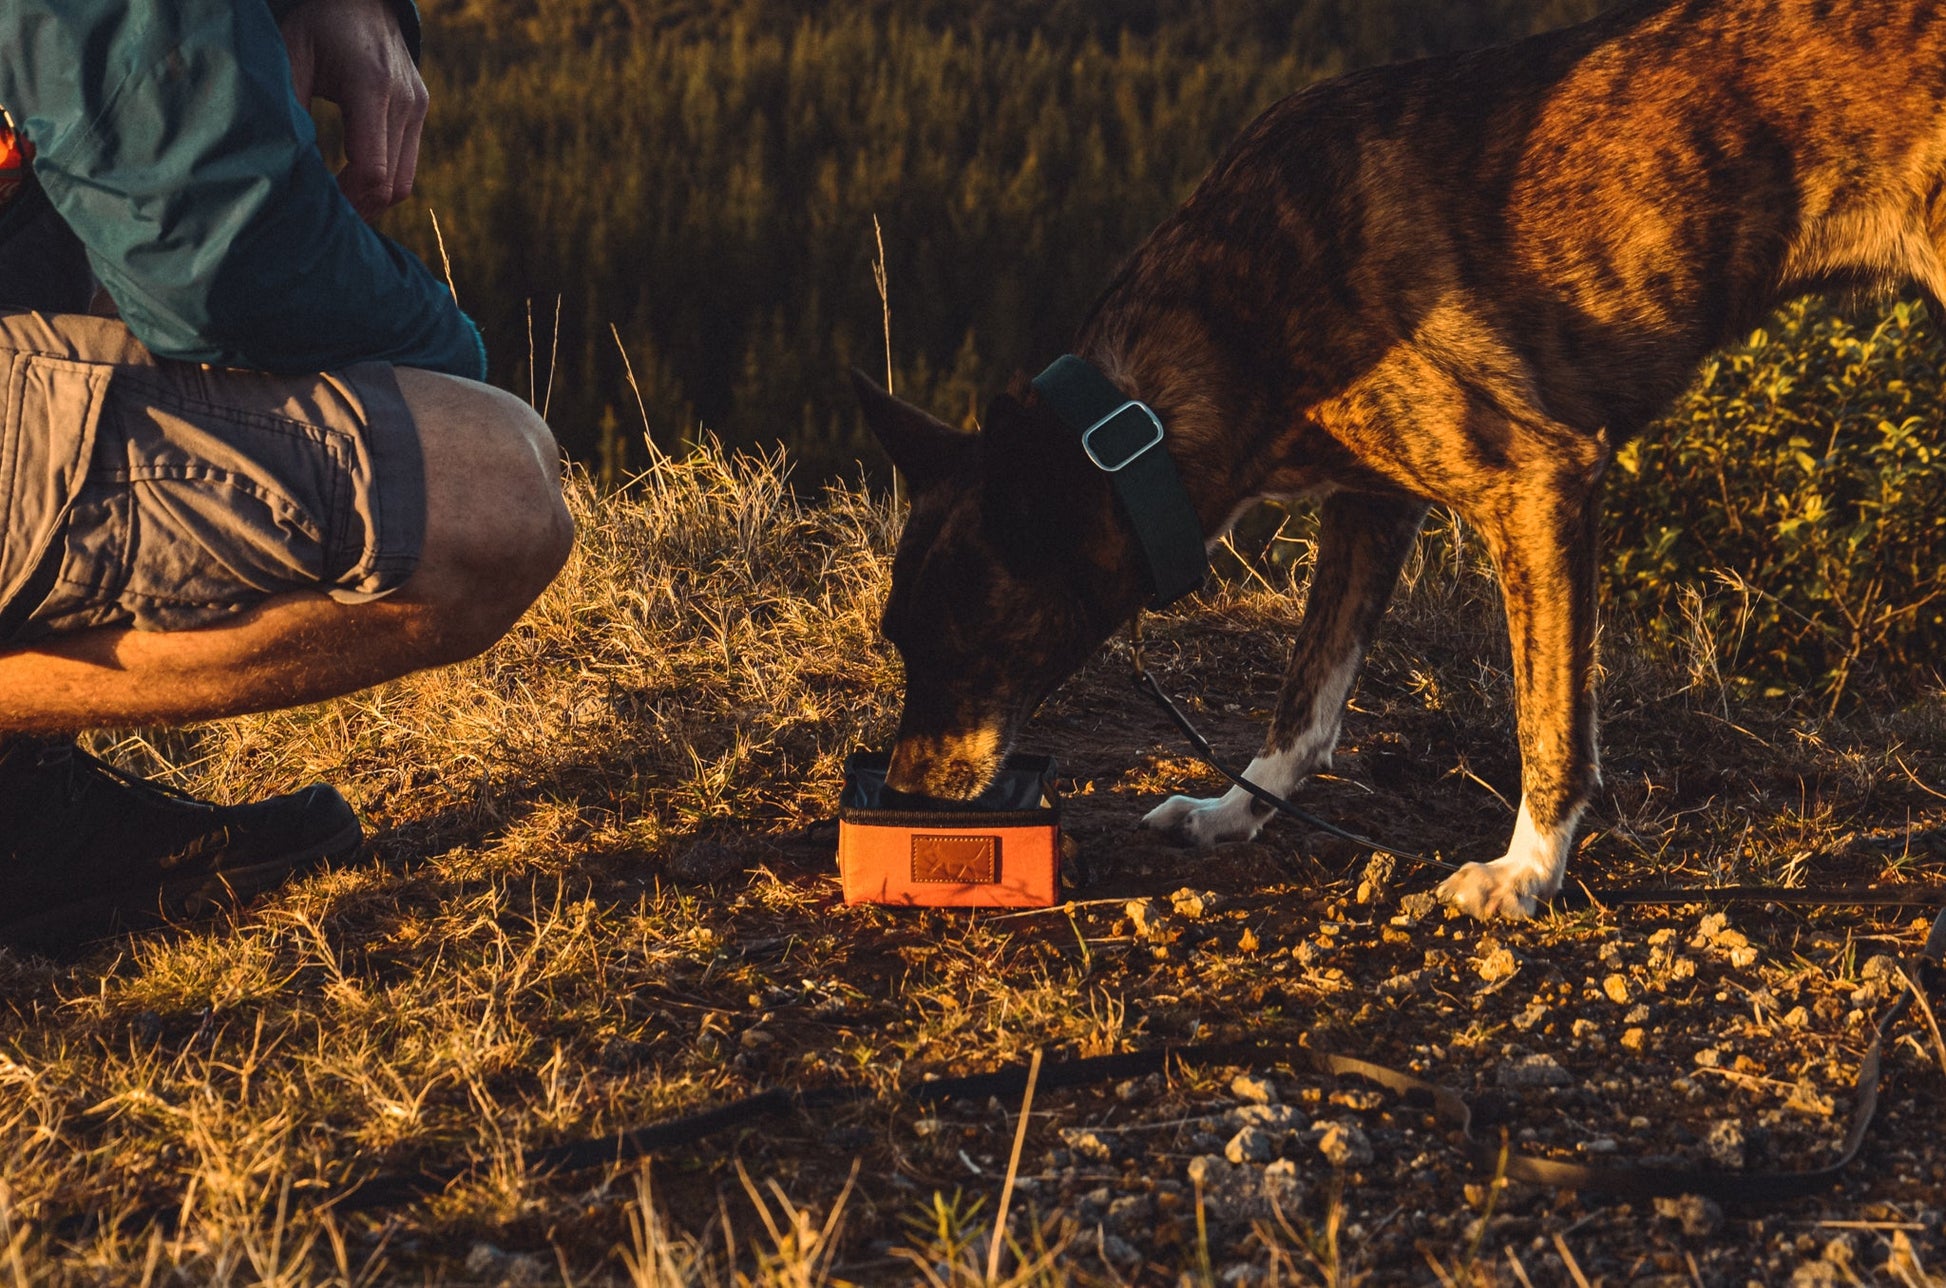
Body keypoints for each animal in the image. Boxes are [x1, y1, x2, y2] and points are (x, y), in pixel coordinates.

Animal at [852, 0, 1946, 918]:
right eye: (898, 639)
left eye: (965, 646)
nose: (901, 793)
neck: (1226, 330)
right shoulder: (1370, 505)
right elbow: (1306, 698)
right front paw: (1231, 814)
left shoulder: (1538, 482)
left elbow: (1547, 718)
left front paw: (1526, 871)